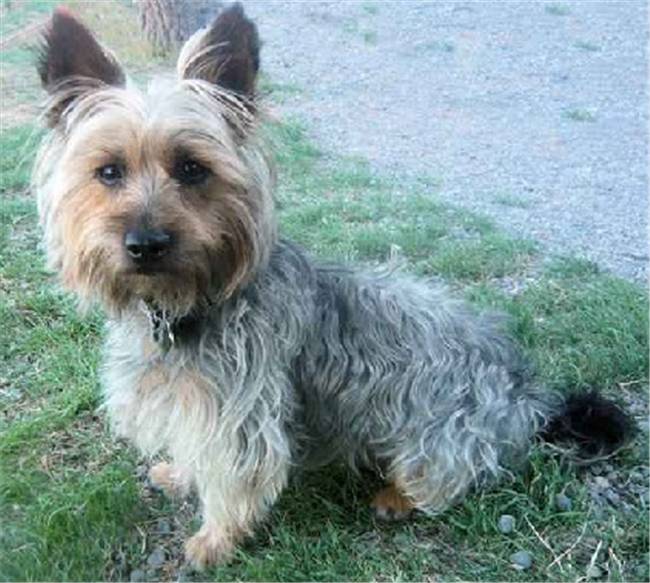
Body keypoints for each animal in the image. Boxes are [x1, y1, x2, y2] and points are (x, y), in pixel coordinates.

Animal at [33, 3, 632, 572]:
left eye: (192, 168)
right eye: (109, 171)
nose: (145, 243)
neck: (189, 302)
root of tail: (523, 395)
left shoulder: (240, 416)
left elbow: (233, 479)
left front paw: (214, 541)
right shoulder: (192, 404)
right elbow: (193, 451)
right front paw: (181, 476)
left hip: (437, 439)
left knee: (452, 478)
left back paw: (397, 497)